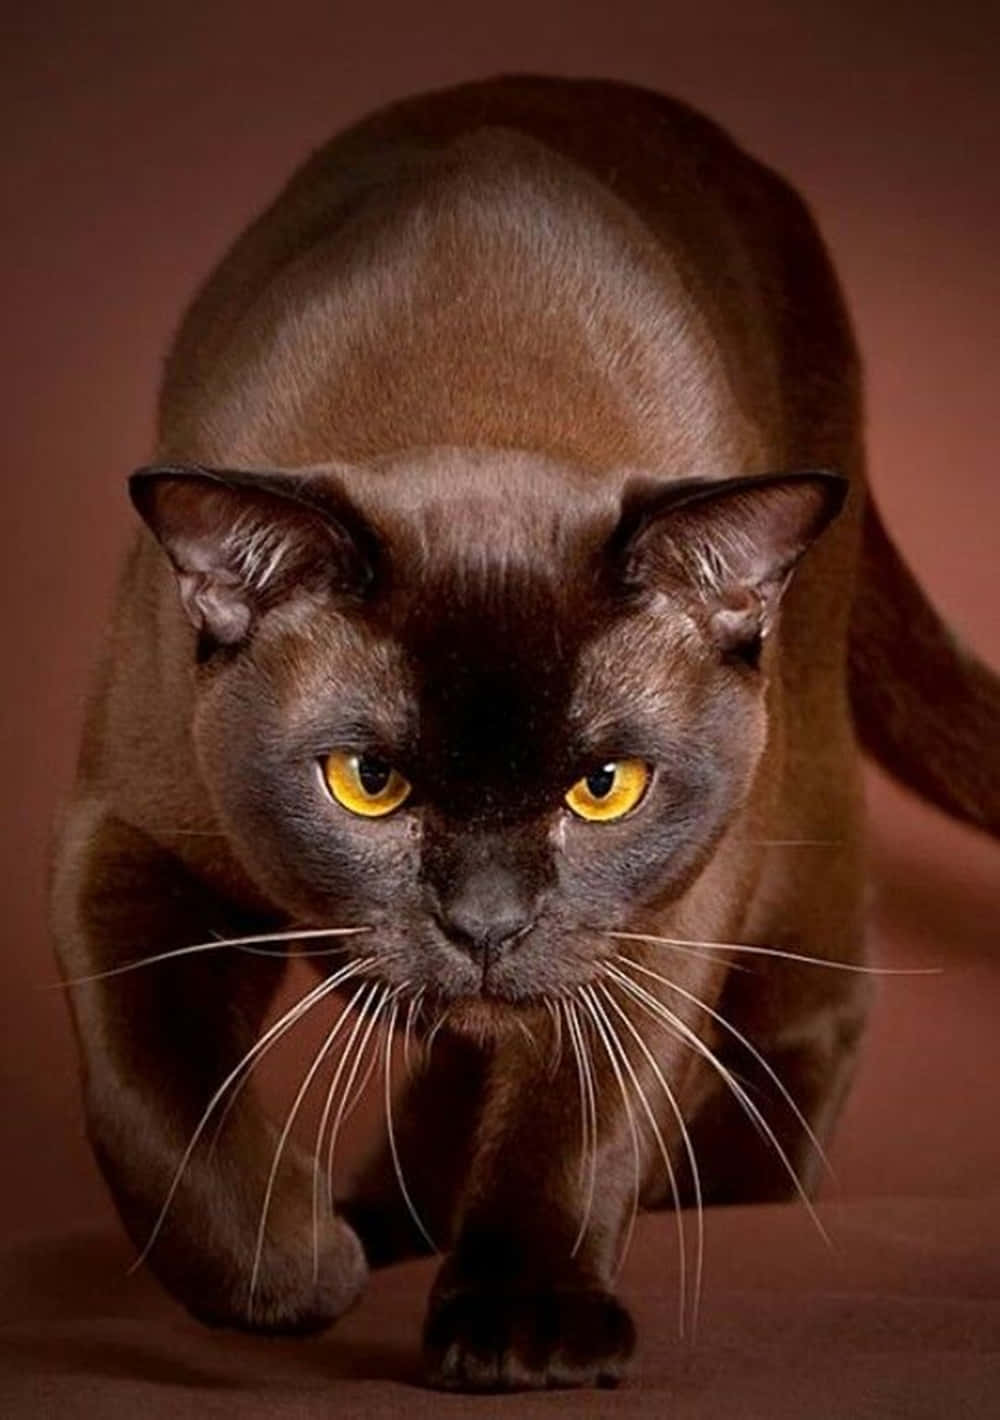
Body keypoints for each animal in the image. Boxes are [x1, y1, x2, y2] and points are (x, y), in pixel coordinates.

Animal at [52, 72, 1000, 1391]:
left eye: (603, 787)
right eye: (367, 782)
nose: (487, 924)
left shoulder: (657, 919)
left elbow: (575, 1113)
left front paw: (524, 1326)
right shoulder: (126, 836)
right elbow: (153, 1102)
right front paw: (299, 1269)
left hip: (795, 771)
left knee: (818, 971)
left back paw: (708, 1179)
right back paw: (382, 1218)